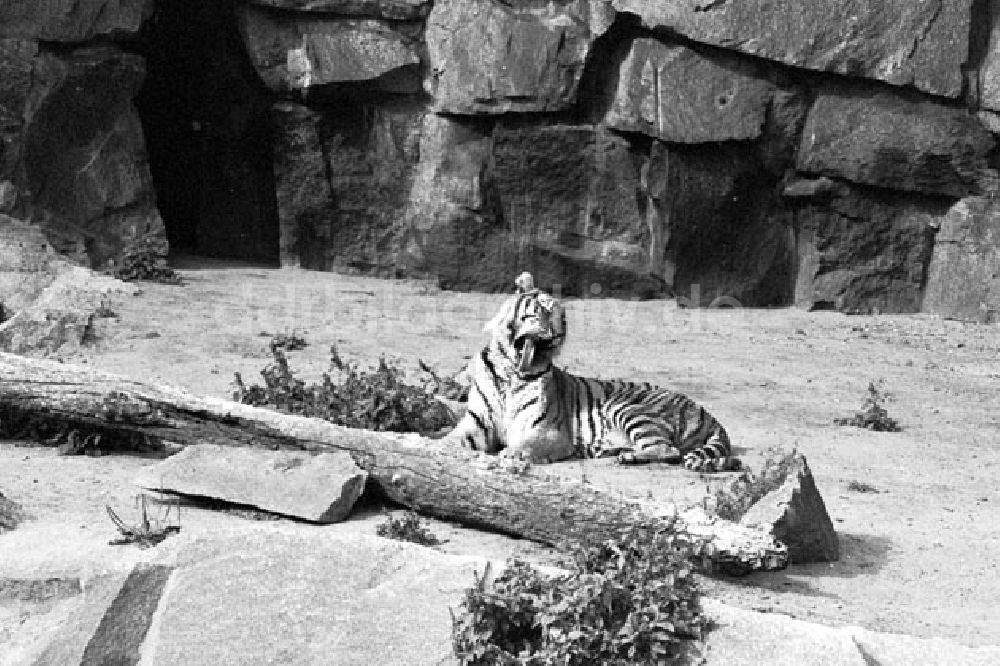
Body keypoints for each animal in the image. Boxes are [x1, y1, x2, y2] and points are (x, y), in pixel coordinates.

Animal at [446, 270, 744, 472]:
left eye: (563, 320)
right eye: (543, 311)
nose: (557, 336)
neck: (510, 373)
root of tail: (707, 413)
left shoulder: (549, 432)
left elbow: (527, 444)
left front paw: (512, 454)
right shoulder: (477, 423)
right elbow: (453, 439)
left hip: (626, 408)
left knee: (668, 449)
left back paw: (627, 456)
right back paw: (616, 452)